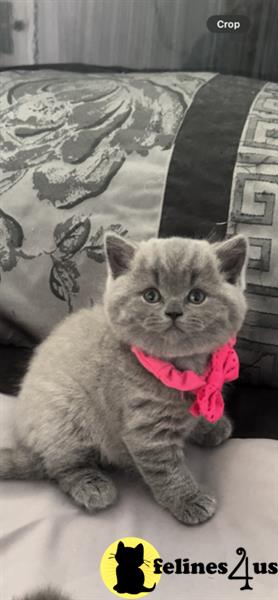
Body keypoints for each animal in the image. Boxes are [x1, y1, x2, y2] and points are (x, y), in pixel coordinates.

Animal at [0, 234, 248, 524]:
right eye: (151, 295)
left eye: (197, 297)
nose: (174, 311)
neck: (182, 367)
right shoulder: (147, 431)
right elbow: (166, 470)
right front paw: (189, 500)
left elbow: (198, 414)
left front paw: (212, 426)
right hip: (65, 414)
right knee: (60, 465)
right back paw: (93, 486)